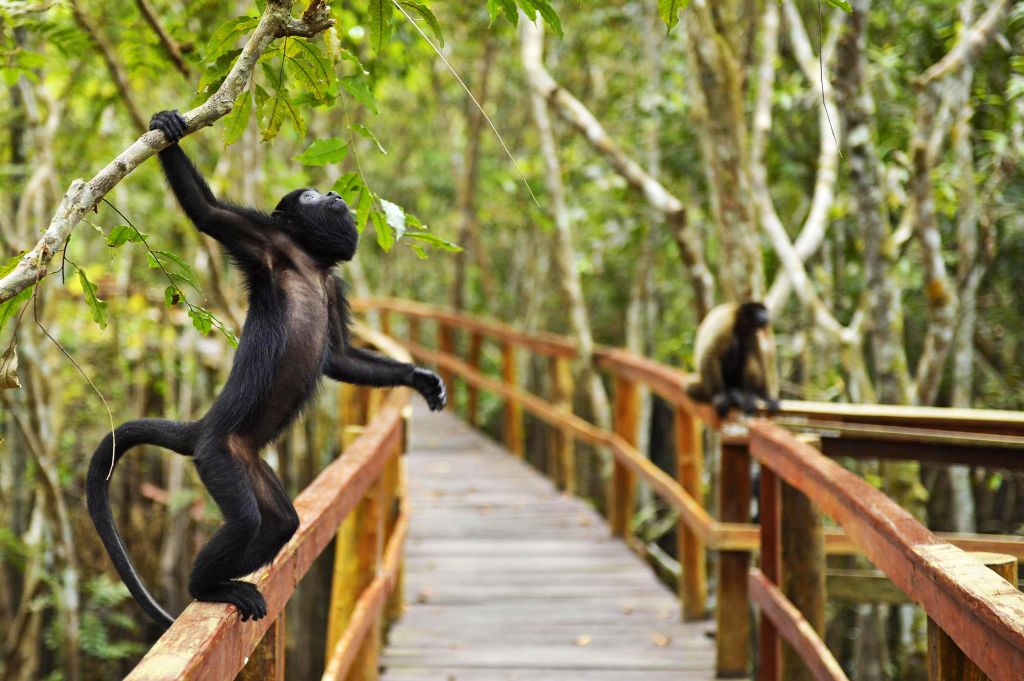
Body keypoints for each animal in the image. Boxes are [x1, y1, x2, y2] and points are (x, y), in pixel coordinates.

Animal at [90, 110, 450, 626]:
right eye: (309, 196)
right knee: (245, 519)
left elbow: (339, 356)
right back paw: (206, 587)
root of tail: (203, 427)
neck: (310, 262)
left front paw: (418, 379)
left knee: (281, 522)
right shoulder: (268, 242)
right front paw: (167, 127)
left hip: (248, 459)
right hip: (218, 456)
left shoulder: (333, 286)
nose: (335, 193)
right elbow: (207, 212)